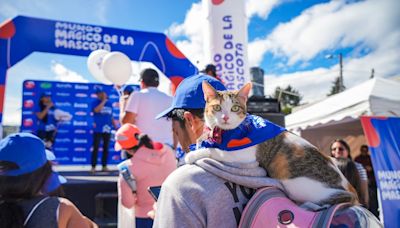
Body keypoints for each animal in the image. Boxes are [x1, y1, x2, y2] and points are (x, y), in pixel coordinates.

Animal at [186, 81, 358, 206]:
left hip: (300, 187)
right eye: (217, 107)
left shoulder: (244, 155)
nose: (225, 117)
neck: (225, 133)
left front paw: (192, 154)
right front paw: (200, 142)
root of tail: (351, 189)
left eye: (235, 108)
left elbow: (215, 150)